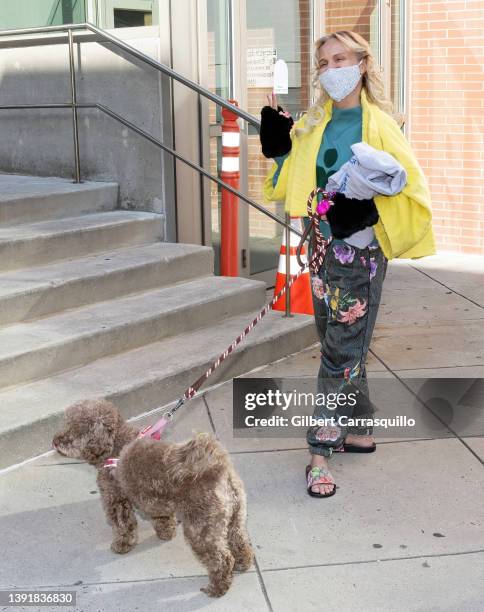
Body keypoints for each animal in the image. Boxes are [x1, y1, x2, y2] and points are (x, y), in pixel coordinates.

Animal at [52, 400, 253, 596]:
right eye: (65, 424)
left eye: (73, 429)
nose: (55, 441)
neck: (115, 443)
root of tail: (218, 469)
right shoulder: (154, 502)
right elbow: (162, 519)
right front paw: (166, 533)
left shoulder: (116, 499)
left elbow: (123, 525)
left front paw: (122, 544)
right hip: (235, 517)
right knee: (239, 541)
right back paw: (244, 562)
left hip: (201, 529)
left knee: (222, 560)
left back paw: (217, 588)